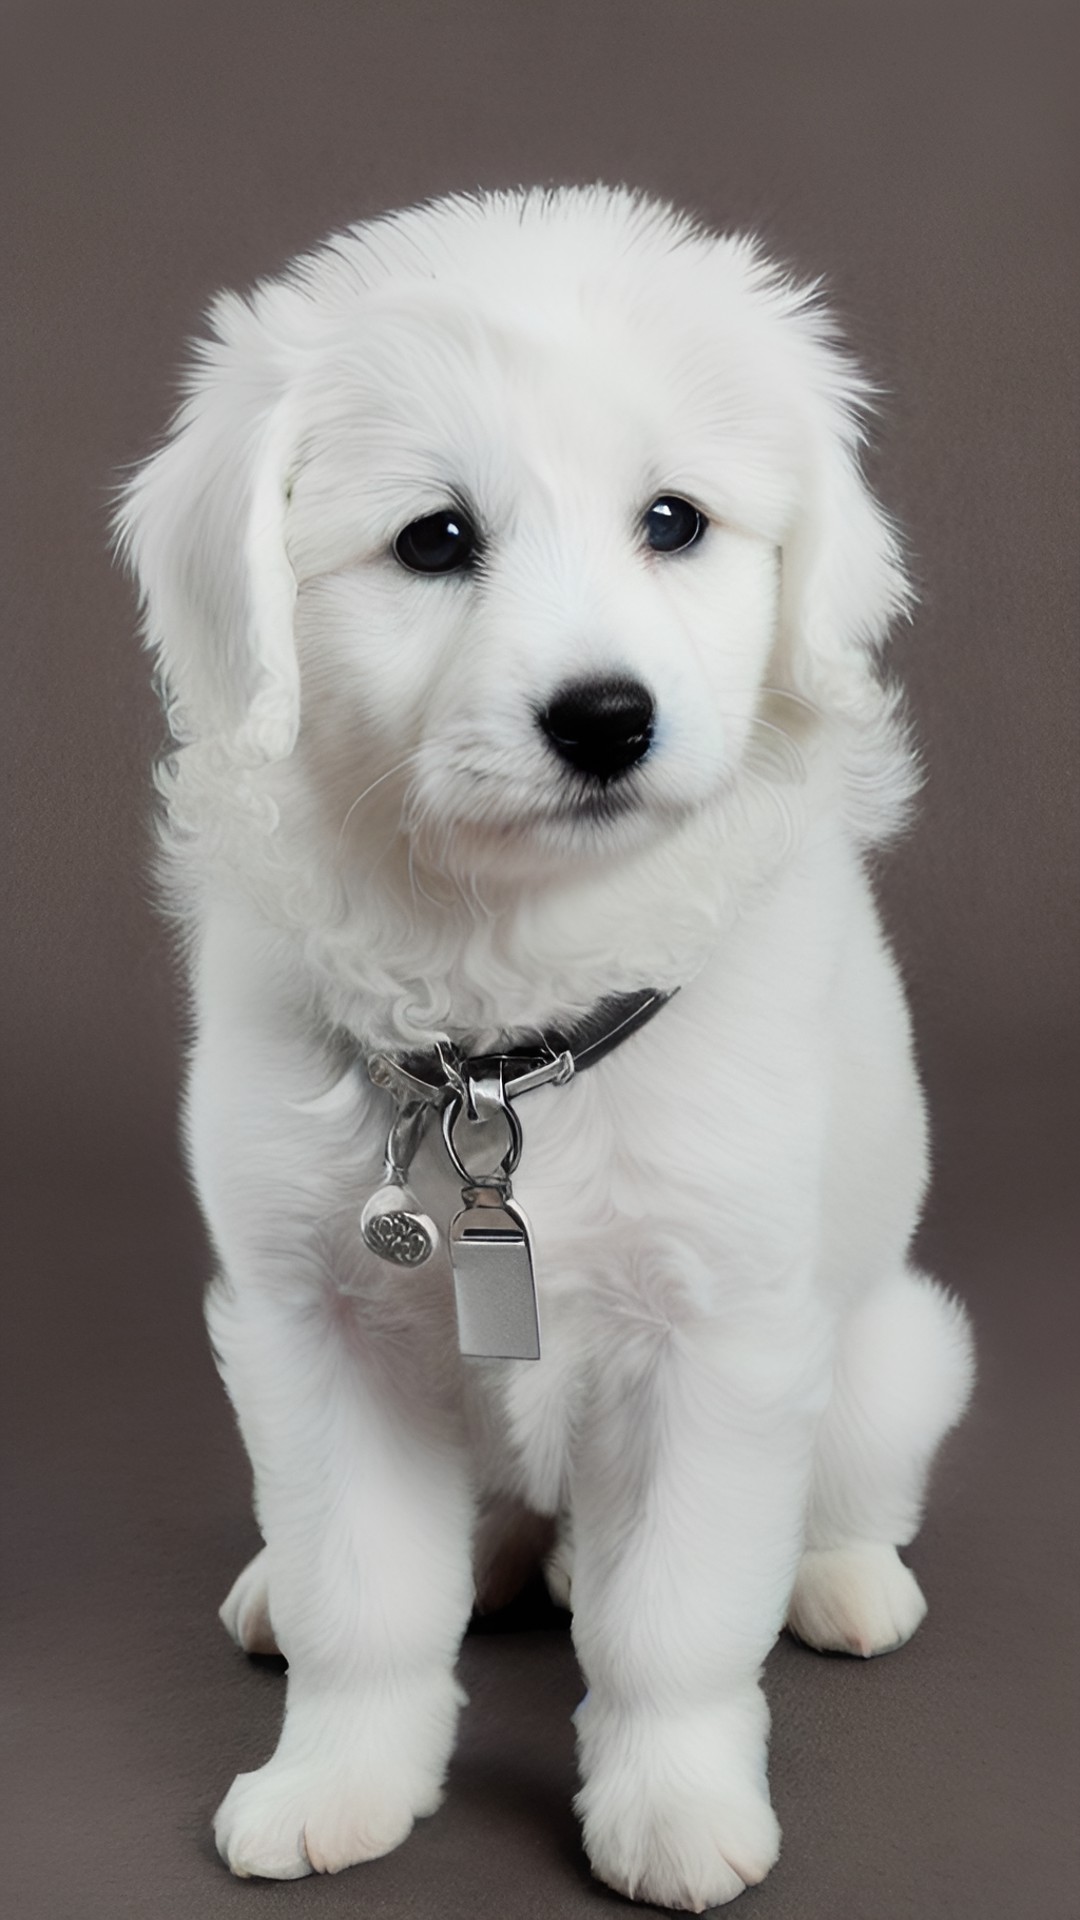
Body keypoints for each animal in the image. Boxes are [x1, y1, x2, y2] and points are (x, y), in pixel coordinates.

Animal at [119, 191, 976, 1904]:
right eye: (435, 539)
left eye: (675, 520)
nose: (603, 719)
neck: (503, 1032)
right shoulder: (313, 1323)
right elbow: (367, 1596)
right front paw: (339, 1778)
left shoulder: (721, 1340)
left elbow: (675, 1626)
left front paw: (678, 1805)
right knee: (470, 1547)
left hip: (893, 1352)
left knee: (846, 1491)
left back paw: (843, 1581)